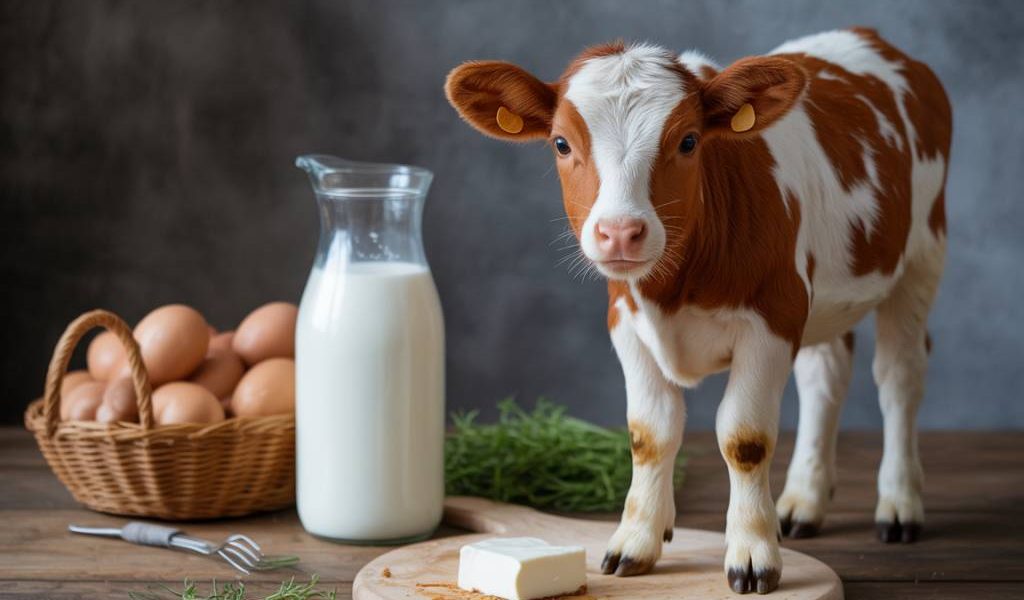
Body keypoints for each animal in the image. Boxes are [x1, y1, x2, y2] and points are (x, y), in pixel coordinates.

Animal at [445, 27, 951, 594]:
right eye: (560, 142)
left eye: (688, 141)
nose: (620, 231)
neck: (671, 290)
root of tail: (870, 37)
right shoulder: (626, 323)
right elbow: (650, 433)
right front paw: (638, 538)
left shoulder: (773, 317)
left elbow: (744, 437)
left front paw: (752, 553)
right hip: (824, 295)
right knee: (825, 378)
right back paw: (802, 502)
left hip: (922, 255)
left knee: (899, 377)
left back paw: (899, 504)